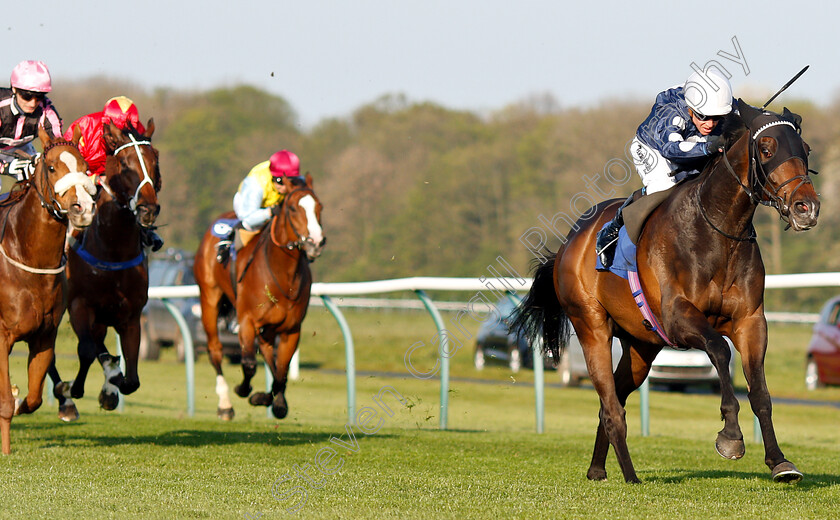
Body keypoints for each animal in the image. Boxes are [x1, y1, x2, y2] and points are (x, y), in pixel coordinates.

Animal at [0, 127, 96, 456]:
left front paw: (20, 400)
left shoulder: (44, 337)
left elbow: (33, 398)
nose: (83, 208)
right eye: (52, 167)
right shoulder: (1, 336)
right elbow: (4, 401)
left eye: (85, 166)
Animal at [48, 120, 161, 420]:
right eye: (124, 164)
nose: (147, 209)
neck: (112, 248)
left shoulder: (131, 316)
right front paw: (74, 389)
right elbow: (87, 350)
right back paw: (65, 400)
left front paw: (112, 386)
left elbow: (131, 380)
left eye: (155, 161)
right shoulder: (79, 305)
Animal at [194, 174, 324, 418]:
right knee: (215, 350)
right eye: (293, 208)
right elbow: (249, 364)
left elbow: (281, 370)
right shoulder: (247, 321)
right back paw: (225, 405)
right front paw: (244, 390)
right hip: (209, 298)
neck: (283, 275)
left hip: (270, 326)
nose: (316, 242)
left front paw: (274, 401)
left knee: (266, 351)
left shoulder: (291, 329)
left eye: (320, 207)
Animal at [512, 100, 820, 484]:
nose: (806, 207)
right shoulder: (678, 317)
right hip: (591, 327)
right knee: (611, 406)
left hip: (641, 346)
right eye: (766, 149)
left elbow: (760, 392)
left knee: (612, 402)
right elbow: (720, 350)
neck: (717, 231)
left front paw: (780, 462)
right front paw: (731, 436)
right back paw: (630, 477)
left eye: (805, 149)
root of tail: (570, 240)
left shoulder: (751, 321)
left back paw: (597, 469)